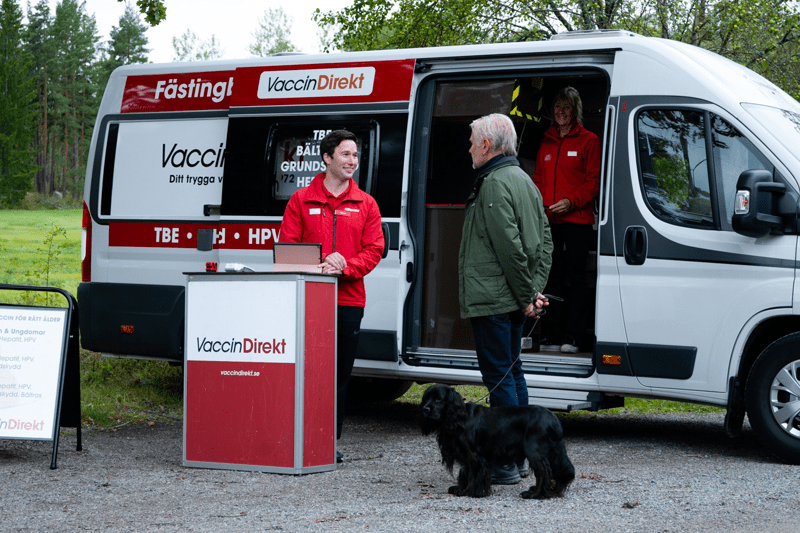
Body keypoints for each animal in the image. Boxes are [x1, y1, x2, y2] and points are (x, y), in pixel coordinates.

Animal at [418, 382, 576, 498]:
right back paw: (551, 490)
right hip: (551, 451)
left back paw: (536, 494)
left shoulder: (473, 455)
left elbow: (472, 474)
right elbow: (465, 473)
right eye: (426, 398)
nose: (425, 409)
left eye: (438, 399)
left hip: (535, 451)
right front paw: (460, 488)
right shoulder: (465, 456)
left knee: (543, 472)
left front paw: (469, 491)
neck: (457, 418)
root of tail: (554, 419)